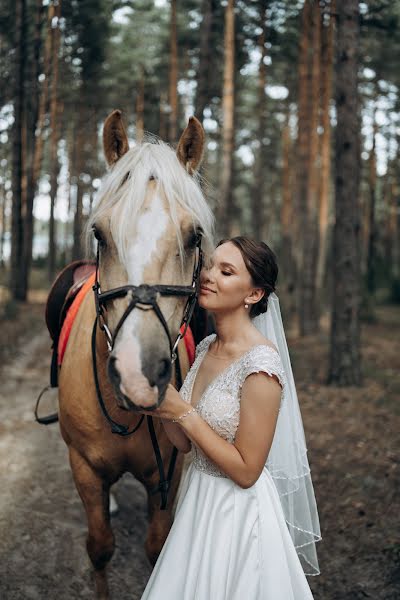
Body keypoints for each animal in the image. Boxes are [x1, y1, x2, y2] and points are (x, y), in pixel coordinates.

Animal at [57, 110, 214, 596]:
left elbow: (156, 549)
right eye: (99, 234)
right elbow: (100, 548)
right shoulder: (84, 468)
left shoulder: (168, 474)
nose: (137, 373)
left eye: (194, 236)